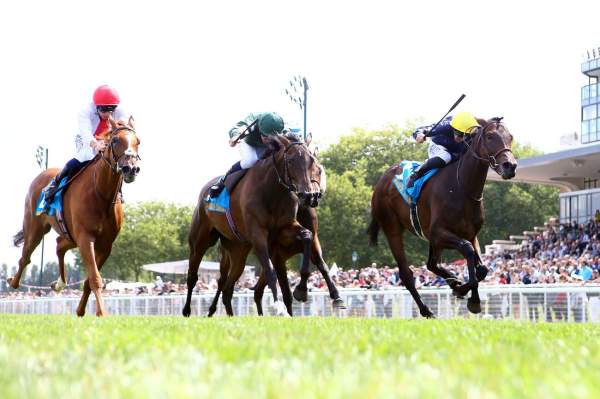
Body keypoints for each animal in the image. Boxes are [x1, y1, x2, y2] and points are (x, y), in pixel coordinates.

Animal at [8, 117, 140, 318]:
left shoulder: (105, 244)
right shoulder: (85, 238)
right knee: (25, 257)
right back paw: (13, 282)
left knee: (58, 244)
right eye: (116, 140)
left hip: (69, 234)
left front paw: (81, 310)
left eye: (138, 141)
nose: (131, 168)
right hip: (35, 228)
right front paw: (102, 312)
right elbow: (94, 278)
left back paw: (59, 283)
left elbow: (89, 280)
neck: (101, 193)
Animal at [182, 134, 324, 318]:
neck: (272, 192)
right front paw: (279, 308)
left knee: (227, 287)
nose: (309, 196)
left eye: (312, 161)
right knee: (193, 276)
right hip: (200, 241)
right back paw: (187, 310)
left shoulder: (285, 227)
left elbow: (307, 235)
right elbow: (270, 271)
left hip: (237, 250)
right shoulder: (258, 234)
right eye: (291, 161)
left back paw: (229, 315)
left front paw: (301, 289)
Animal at [368, 117, 516, 318]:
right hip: (393, 229)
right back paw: (426, 309)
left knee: (431, 264)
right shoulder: (439, 233)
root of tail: (382, 180)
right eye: (490, 136)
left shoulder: (470, 234)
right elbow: (468, 250)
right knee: (406, 274)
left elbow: (482, 268)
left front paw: (460, 287)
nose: (510, 166)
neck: (462, 187)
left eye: (510, 137)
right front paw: (472, 298)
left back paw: (453, 281)